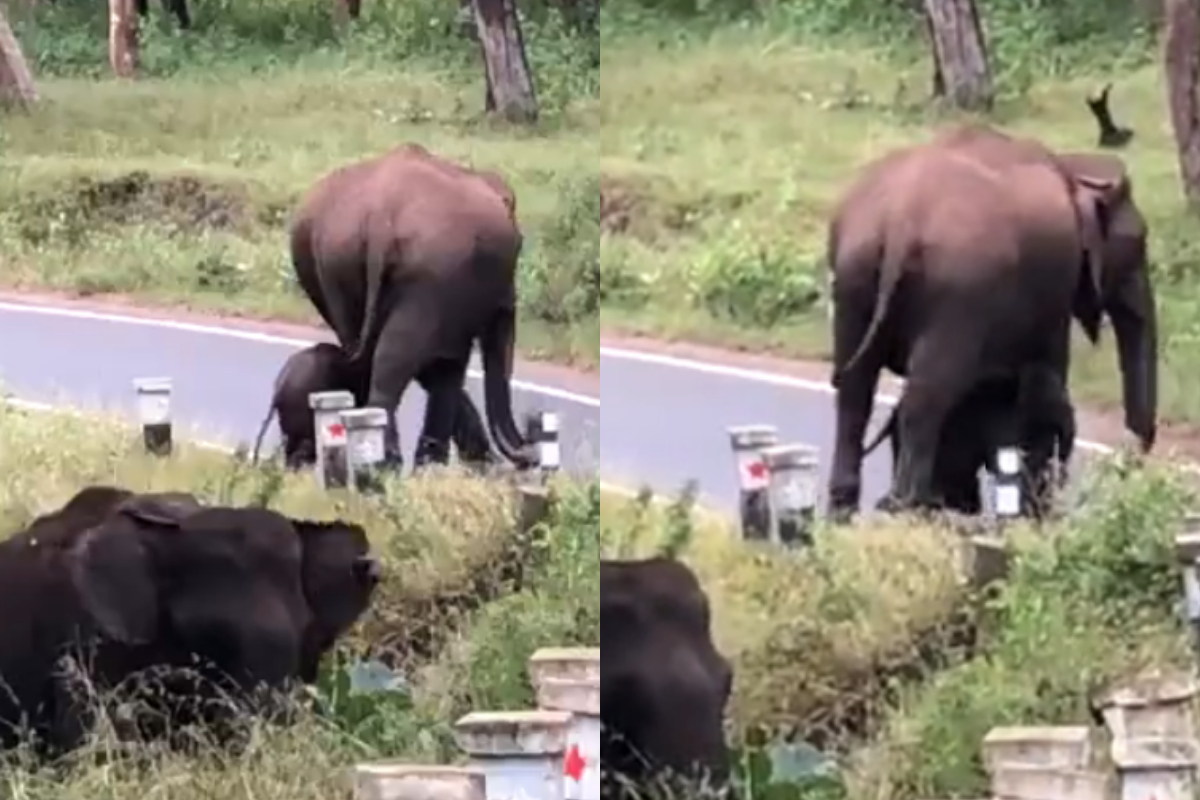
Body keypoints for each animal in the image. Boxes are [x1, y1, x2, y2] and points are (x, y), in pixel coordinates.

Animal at [289, 143, 537, 472]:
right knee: (393, 363)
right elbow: (447, 364)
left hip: (331, 263)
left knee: (371, 356)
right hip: (433, 270)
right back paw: (388, 465)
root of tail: (379, 214)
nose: (531, 448)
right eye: (520, 246)